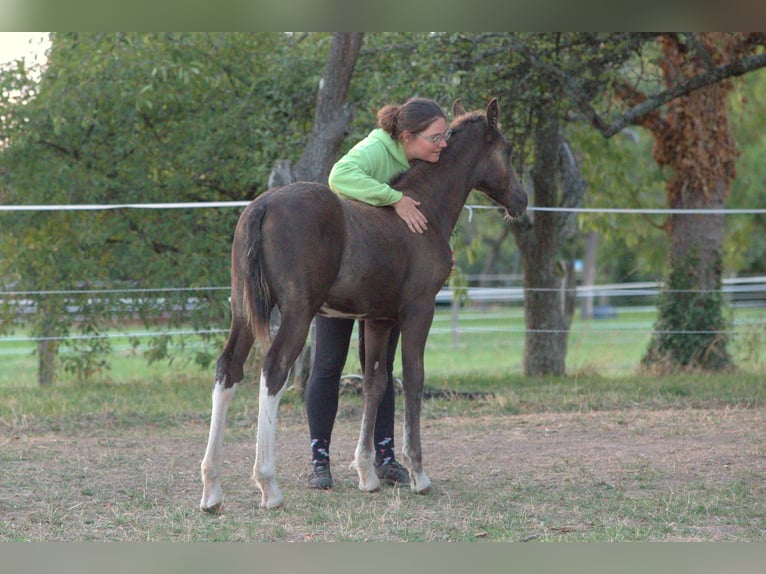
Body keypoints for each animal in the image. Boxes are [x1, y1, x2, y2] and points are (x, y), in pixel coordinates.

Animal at [200, 98, 527, 512]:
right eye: (508, 150)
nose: (521, 201)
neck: (426, 210)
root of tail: (263, 206)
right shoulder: (420, 310)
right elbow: (414, 378)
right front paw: (419, 474)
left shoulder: (379, 318)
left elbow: (376, 382)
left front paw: (368, 474)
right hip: (297, 313)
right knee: (273, 370)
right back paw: (268, 486)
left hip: (243, 311)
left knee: (228, 369)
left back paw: (211, 489)